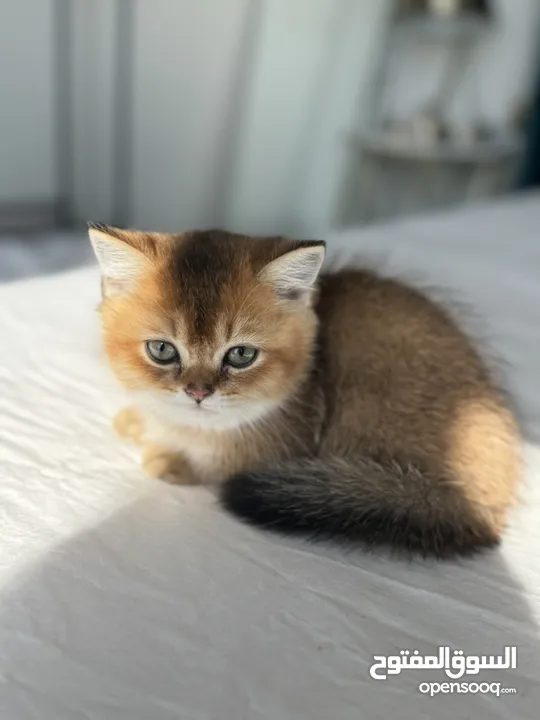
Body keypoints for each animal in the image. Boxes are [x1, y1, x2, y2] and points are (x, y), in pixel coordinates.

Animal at [89, 224, 524, 556]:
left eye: (241, 355)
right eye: (162, 350)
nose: (198, 392)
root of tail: (483, 503)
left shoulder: (282, 447)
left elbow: (213, 463)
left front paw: (168, 458)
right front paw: (136, 420)